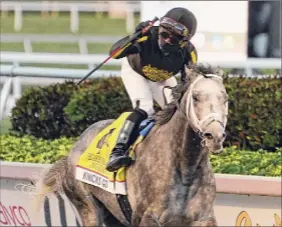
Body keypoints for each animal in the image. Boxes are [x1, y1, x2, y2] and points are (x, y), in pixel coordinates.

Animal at [34, 64, 229, 227]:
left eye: (225, 98)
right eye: (195, 97)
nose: (215, 136)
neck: (184, 167)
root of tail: (72, 150)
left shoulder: (203, 218)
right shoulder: (146, 219)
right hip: (87, 207)